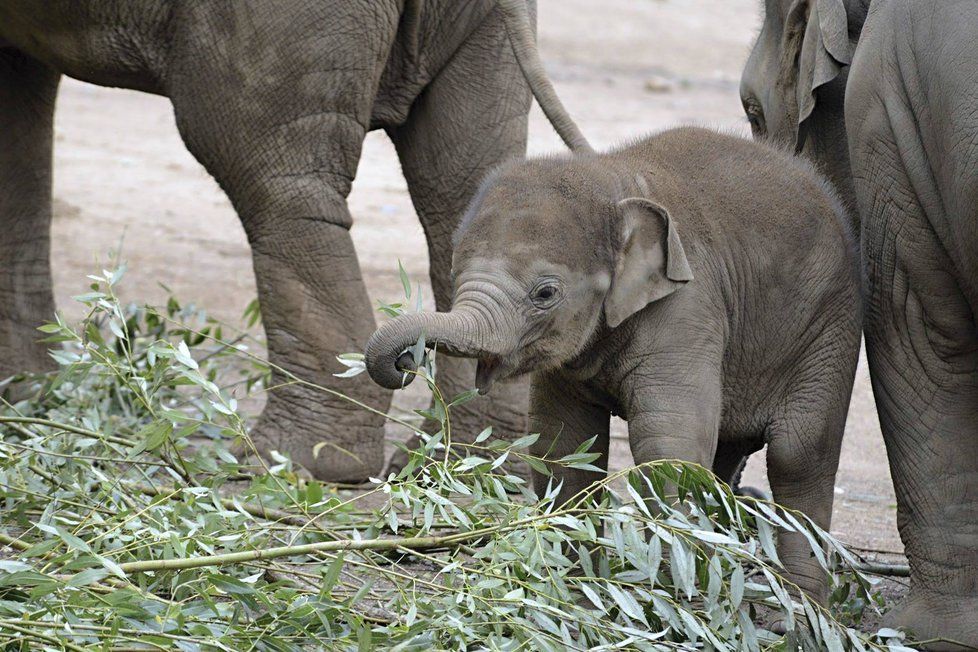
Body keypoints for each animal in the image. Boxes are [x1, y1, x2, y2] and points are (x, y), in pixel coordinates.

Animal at [0, 1, 588, 484]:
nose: (405, 362)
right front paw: (28, 393)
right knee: (465, 184)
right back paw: (464, 464)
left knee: (267, 174)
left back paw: (287, 463)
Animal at [364, 125, 856, 600]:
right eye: (453, 274)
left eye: (545, 292)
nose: (407, 360)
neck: (612, 179)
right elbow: (563, 440)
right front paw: (573, 585)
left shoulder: (687, 305)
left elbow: (667, 442)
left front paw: (667, 593)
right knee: (726, 454)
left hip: (829, 328)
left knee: (798, 453)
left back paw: (795, 612)